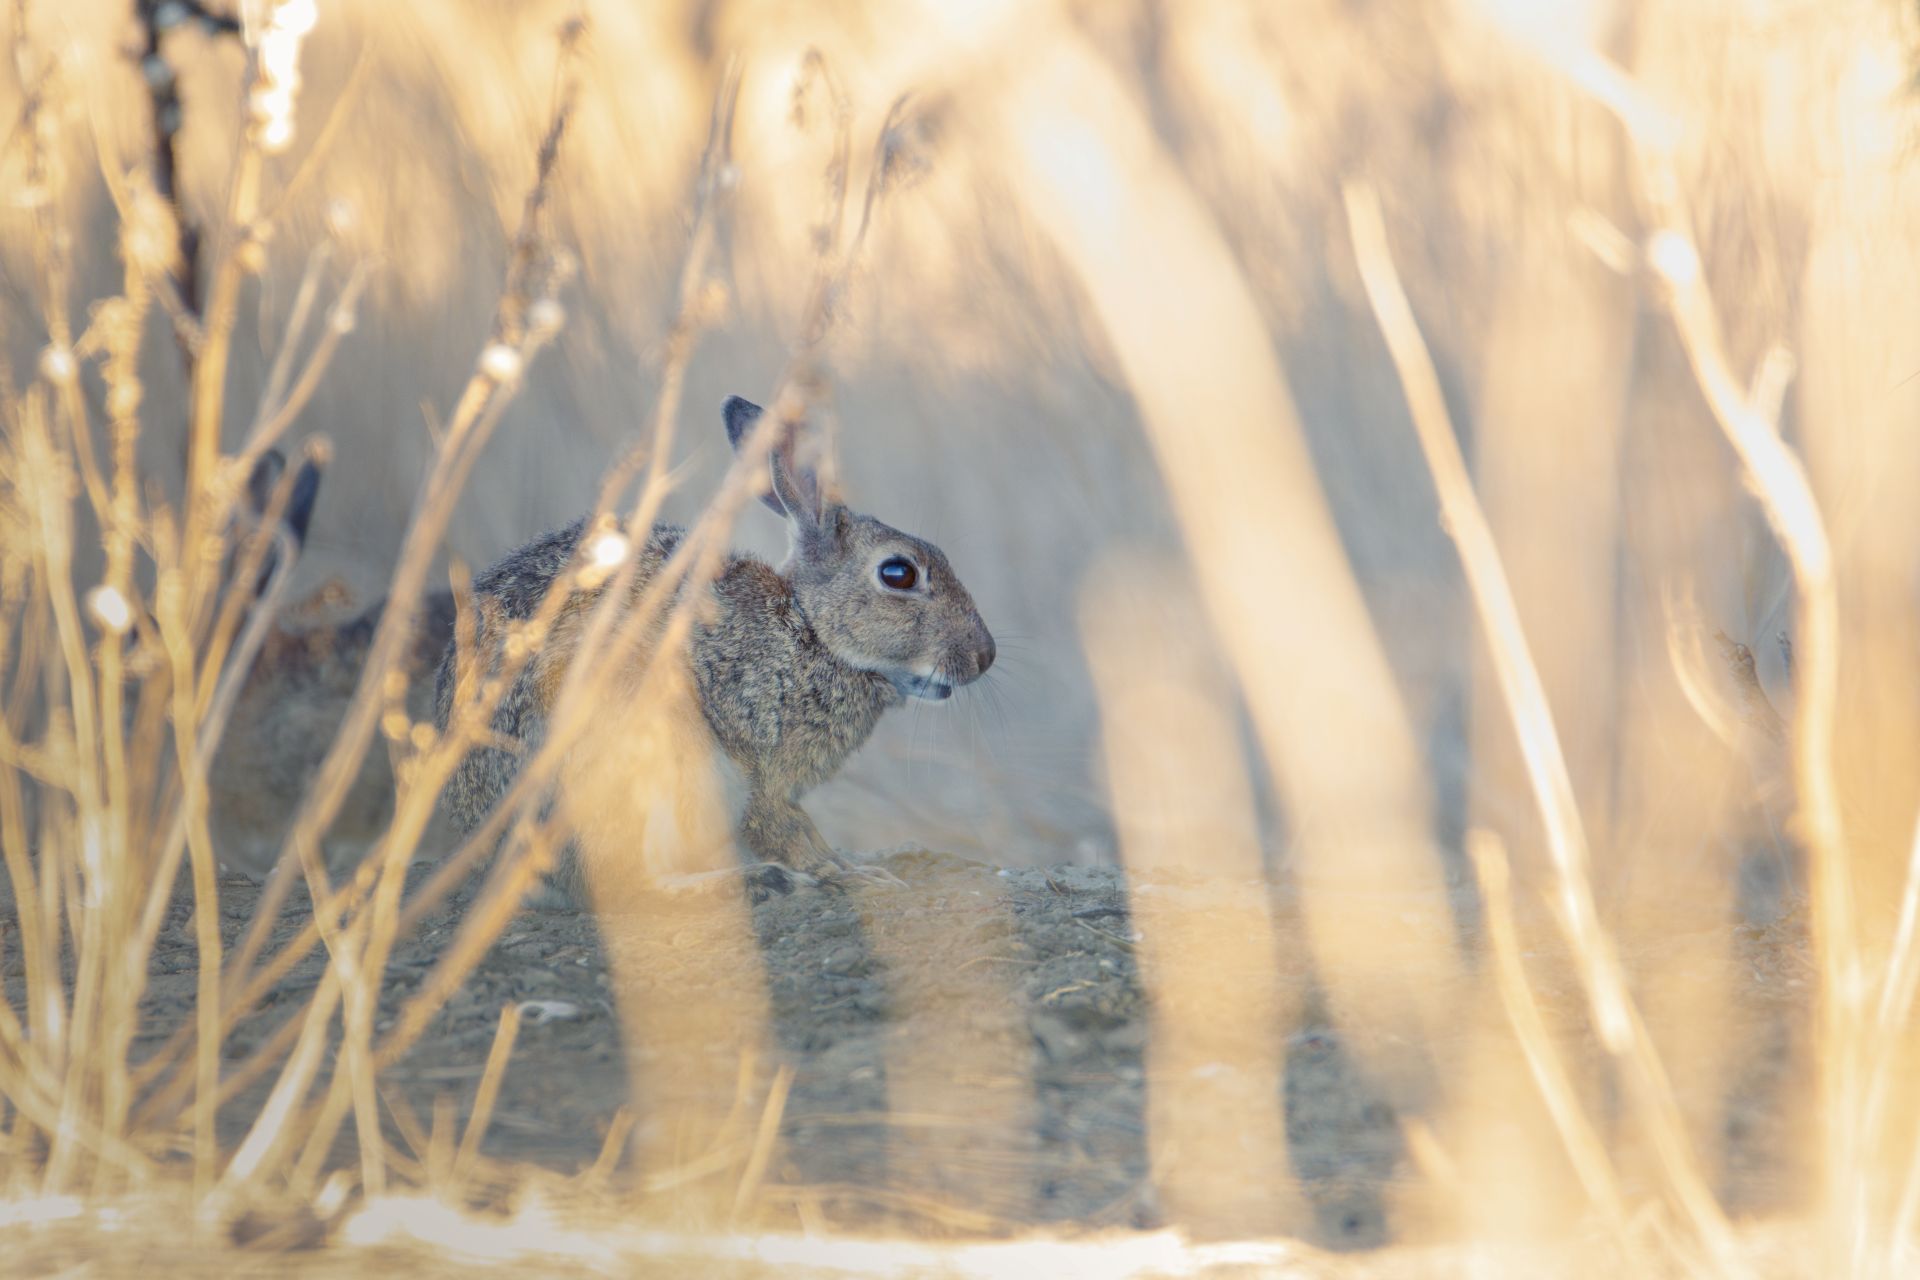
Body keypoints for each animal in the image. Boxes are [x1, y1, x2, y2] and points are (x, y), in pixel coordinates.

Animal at [432, 394, 997, 909]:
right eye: (898, 573)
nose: (984, 656)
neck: (812, 632)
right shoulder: (756, 761)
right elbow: (788, 828)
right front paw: (848, 877)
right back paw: (755, 881)